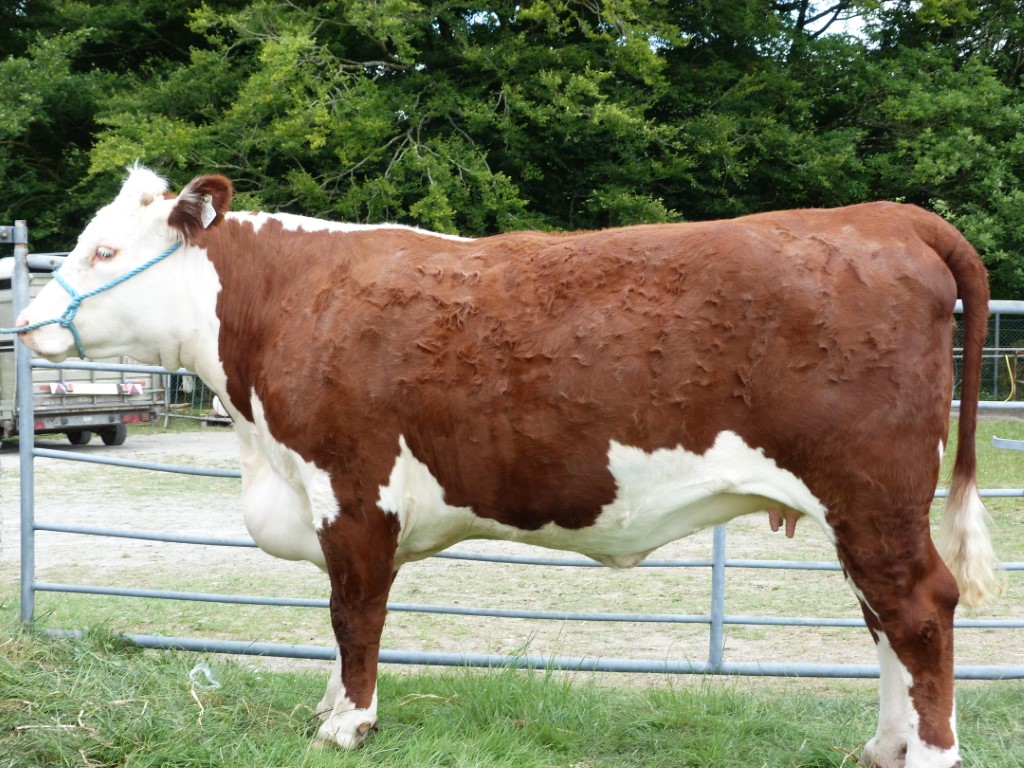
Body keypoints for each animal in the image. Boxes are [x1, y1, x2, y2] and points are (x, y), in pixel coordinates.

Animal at [17, 166, 1002, 768]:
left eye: (105, 250)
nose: (24, 324)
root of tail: (886, 215)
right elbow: (338, 618)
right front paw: (329, 710)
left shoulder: (354, 489)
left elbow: (354, 614)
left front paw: (348, 725)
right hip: (859, 508)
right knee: (882, 618)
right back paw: (884, 746)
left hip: (871, 492)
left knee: (920, 610)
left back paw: (932, 752)